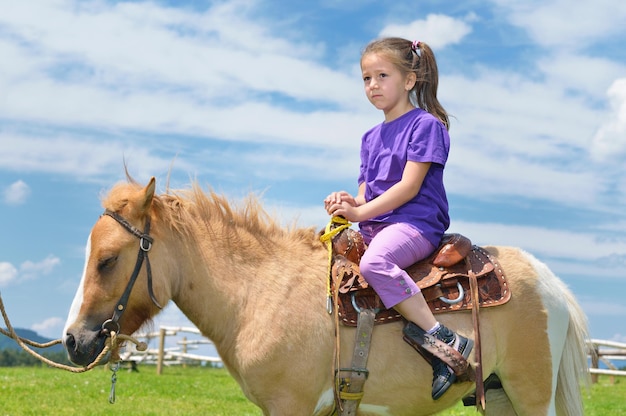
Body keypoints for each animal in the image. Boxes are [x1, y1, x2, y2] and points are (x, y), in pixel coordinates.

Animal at [61, 177, 588, 414]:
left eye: (107, 260)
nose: (72, 340)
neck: (259, 292)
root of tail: (550, 282)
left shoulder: (290, 406)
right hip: (499, 396)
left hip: (530, 395)